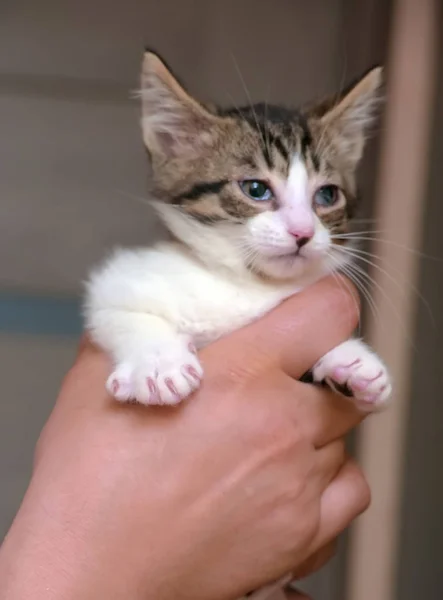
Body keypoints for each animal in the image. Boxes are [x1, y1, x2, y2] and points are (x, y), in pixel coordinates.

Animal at [84, 50, 392, 412]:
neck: (245, 283)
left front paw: (349, 357)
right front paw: (157, 364)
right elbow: (122, 312)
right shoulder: (116, 284)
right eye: (255, 189)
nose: (303, 232)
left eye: (328, 195)